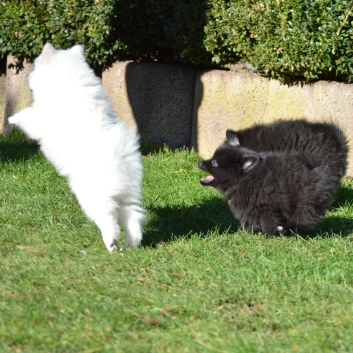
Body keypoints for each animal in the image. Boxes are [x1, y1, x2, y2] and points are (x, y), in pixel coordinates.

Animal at [9, 42, 144, 252]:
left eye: (35, 68)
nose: (28, 76)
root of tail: (118, 162)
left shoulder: (40, 119)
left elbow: (27, 115)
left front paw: (12, 118)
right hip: (128, 196)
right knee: (133, 218)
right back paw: (130, 245)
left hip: (93, 196)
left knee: (108, 218)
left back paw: (111, 242)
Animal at [198, 144, 336, 235]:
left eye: (214, 163)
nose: (200, 162)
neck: (244, 177)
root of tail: (316, 173)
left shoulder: (266, 206)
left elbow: (267, 221)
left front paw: (267, 233)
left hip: (301, 201)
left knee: (301, 218)